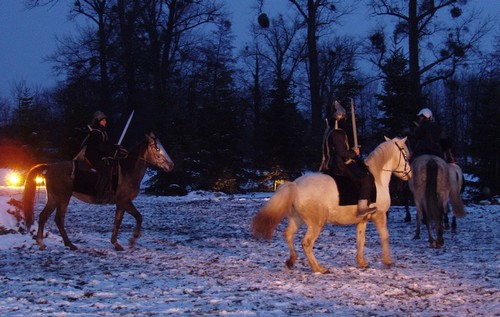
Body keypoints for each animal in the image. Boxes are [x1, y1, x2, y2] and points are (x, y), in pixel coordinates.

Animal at [22, 131, 175, 249]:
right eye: (157, 149)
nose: (171, 166)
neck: (127, 171)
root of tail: (49, 167)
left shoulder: (121, 204)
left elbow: (118, 221)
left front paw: (116, 243)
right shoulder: (124, 201)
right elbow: (137, 217)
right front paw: (132, 240)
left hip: (56, 198)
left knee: (47, 217)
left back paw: (51, 243)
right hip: (62, 198)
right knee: (56, 218)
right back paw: (58, 243)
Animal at [252, 136, 412, 272]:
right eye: (405, 155)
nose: (409, 175)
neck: (377, 178)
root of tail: (296, 186)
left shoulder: (362, 220)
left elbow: (361, 240)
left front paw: (362, 262)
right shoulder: (380, 215)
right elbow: (385, 236)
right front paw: (387, 262)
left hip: (297, 219)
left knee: (288, 235)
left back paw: (291, 261)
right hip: (316, 223)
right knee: (307, 243)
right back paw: (318, 268)